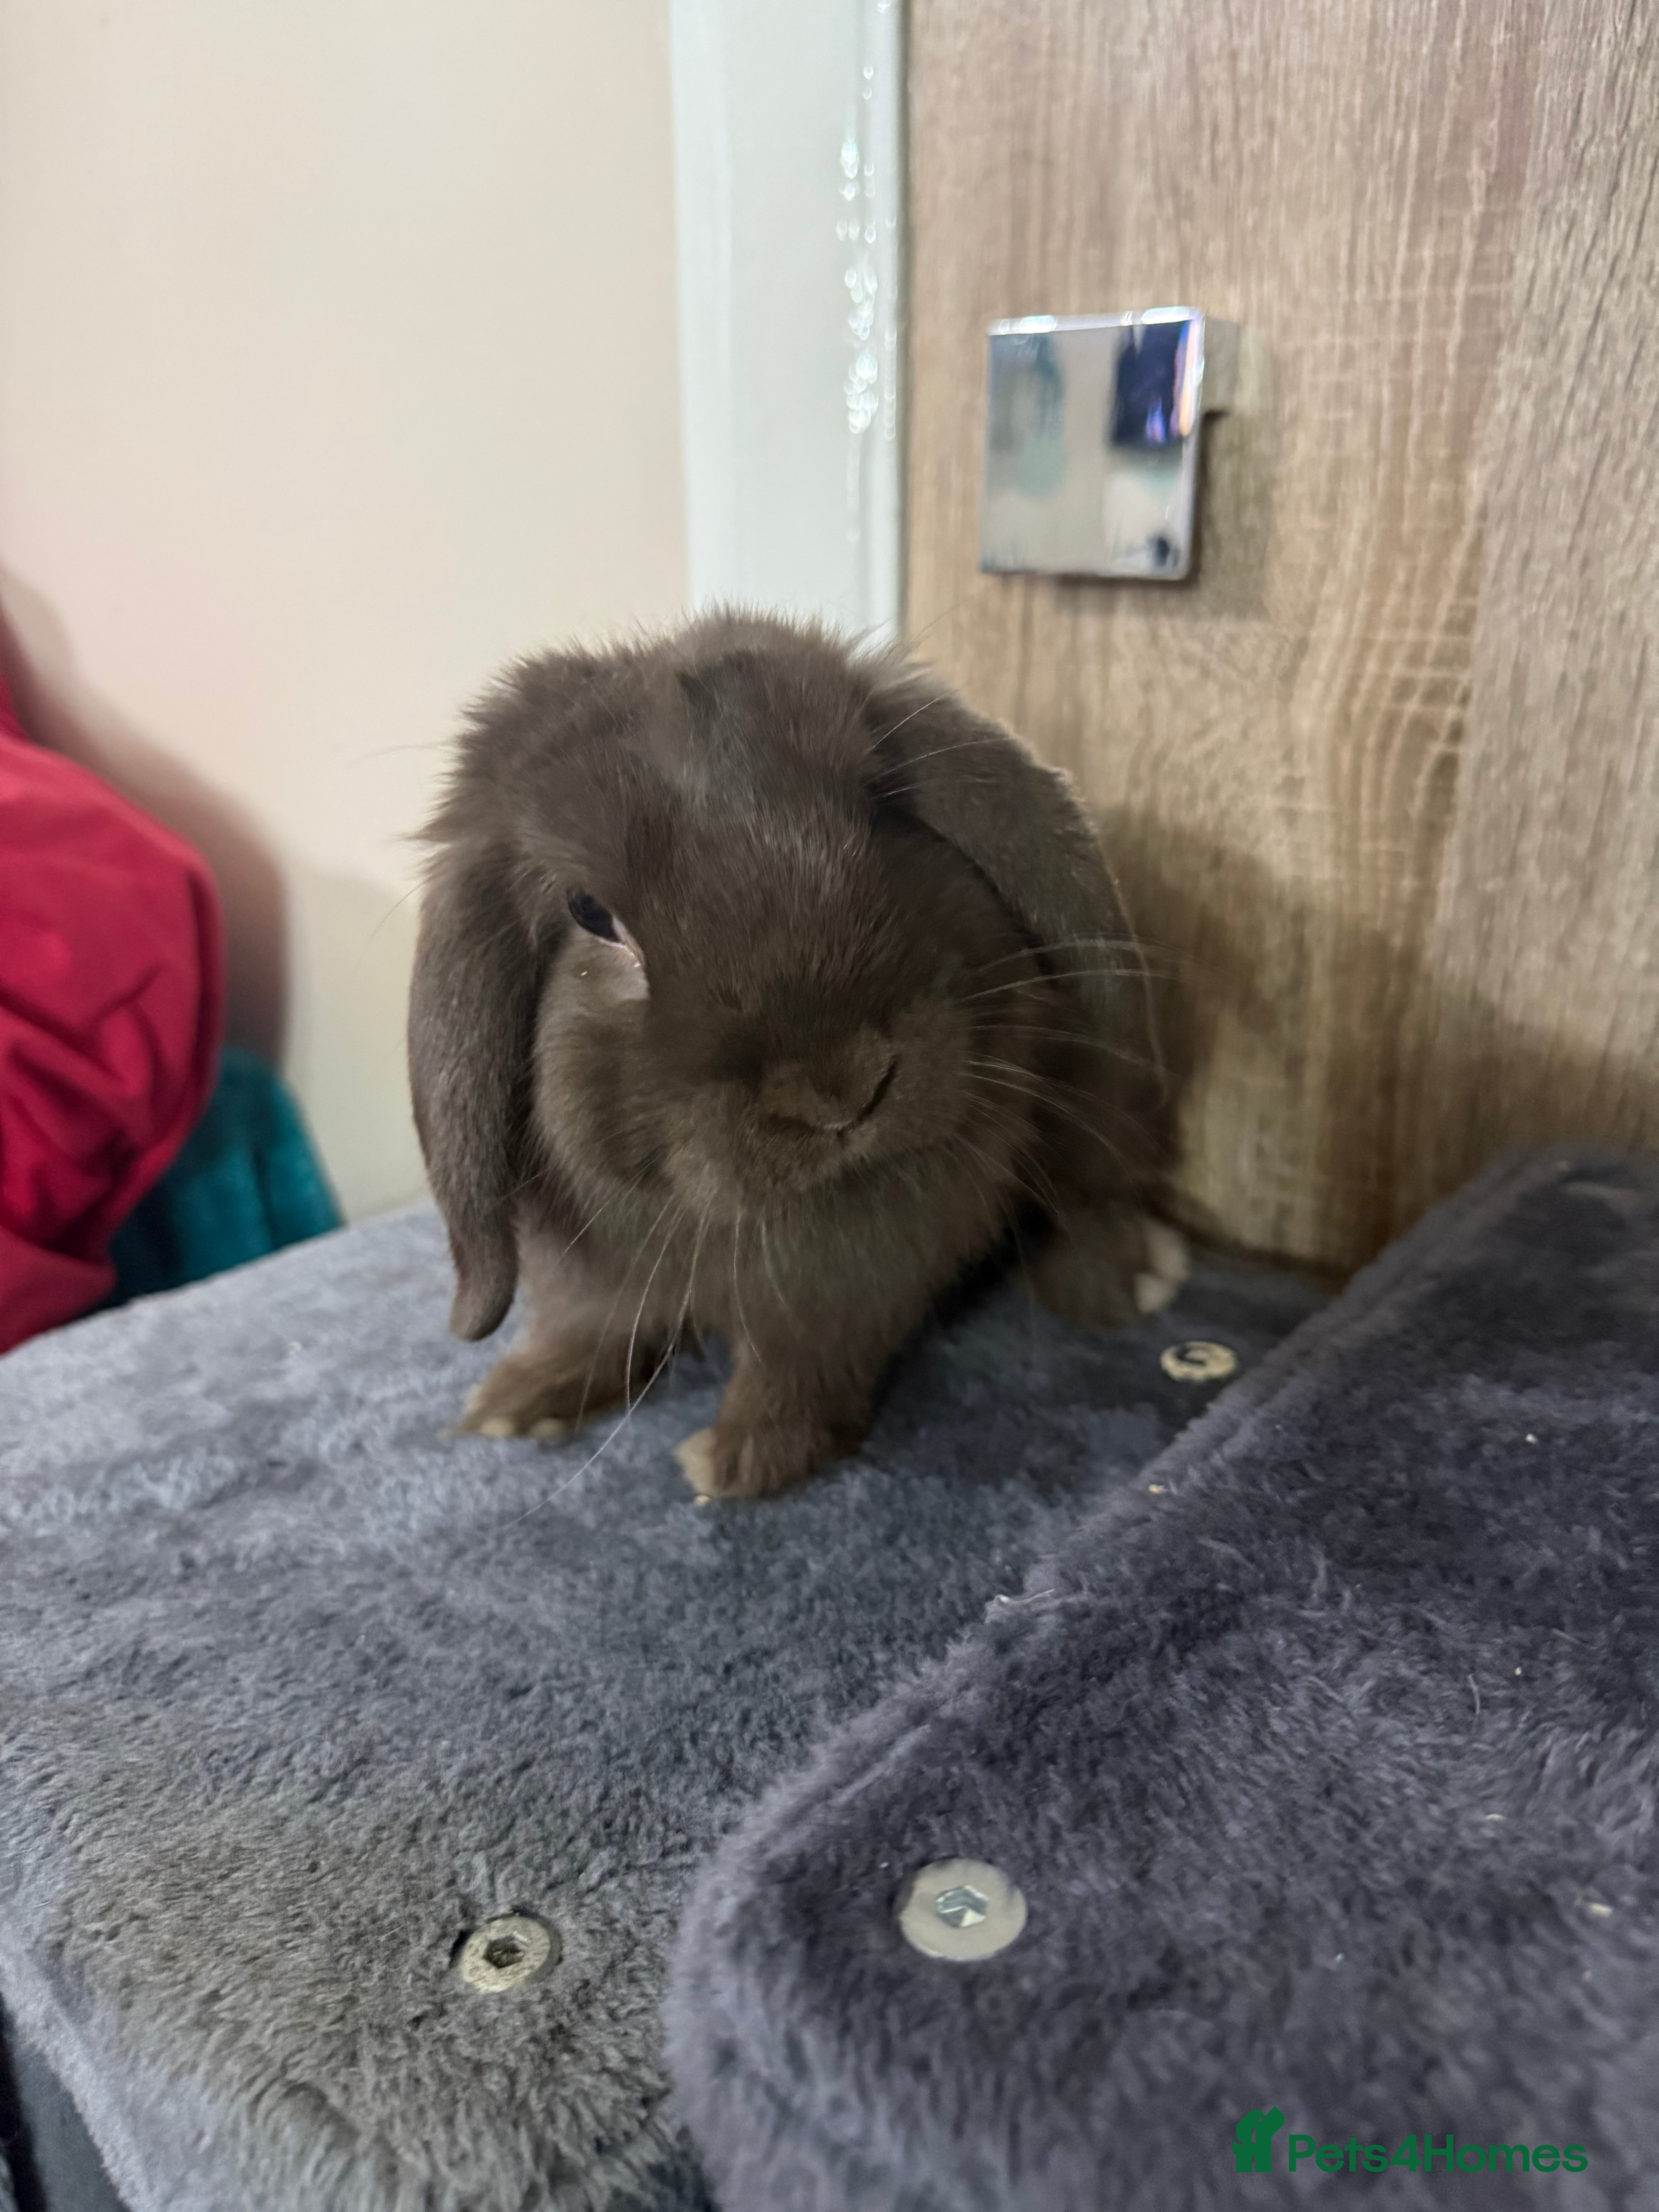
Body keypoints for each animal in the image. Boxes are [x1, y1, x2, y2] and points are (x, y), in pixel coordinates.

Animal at [408, 611, 1186, 1499]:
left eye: (885, 811)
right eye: (590, 913)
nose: (840, 1090)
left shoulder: (855, 1277)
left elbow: (803, 1362)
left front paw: (742, 1460)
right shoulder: (579, 1271)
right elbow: (588, 1328)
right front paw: (521, 1401)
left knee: (1092, 1194)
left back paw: (1126, 1281)